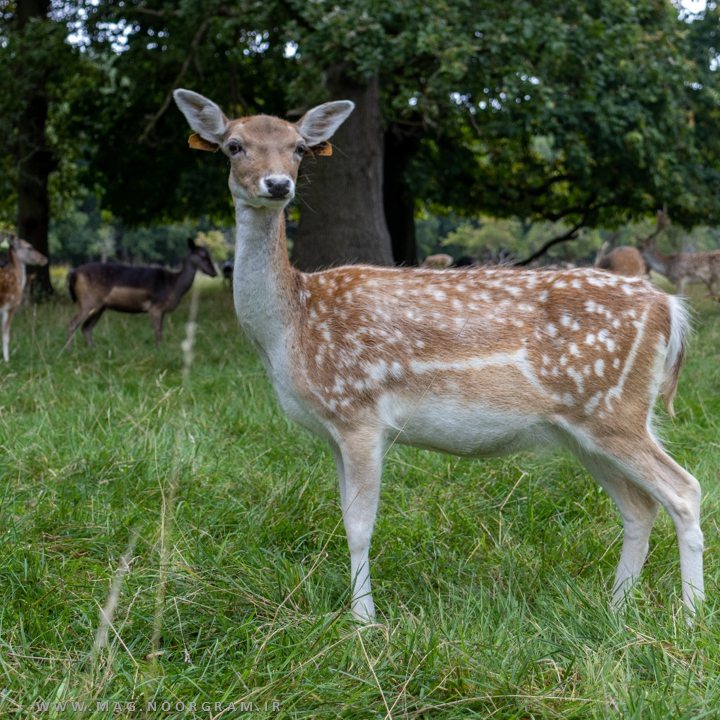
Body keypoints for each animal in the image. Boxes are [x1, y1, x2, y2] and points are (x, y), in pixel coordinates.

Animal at [67, 238, 217, 348]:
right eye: (202, 255)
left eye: (209, 254)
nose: (214, 272)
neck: (173, 286)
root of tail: (74, 273)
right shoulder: (155, 307)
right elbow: (157, 331)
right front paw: (159, 350)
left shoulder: (162, 310)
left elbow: (161, 330)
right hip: (88, 301)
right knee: (73, 323)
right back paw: (69, 350)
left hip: (100, 306)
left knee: (86, 328)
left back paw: (93, 349)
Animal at [173, 88, 704, 620]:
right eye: (234, 146)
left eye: (299, 147)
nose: (278, 184)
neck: (290, 328)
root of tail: (670, 308)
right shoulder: (333, 430)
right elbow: (344, 515)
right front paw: (358, 612)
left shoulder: (359, 413)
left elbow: (359, 526)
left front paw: (364, 620)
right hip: (582, 428)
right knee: (639, 506)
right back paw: (616, 609)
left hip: (615, 410)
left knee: (684, 490)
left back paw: (690, 615)